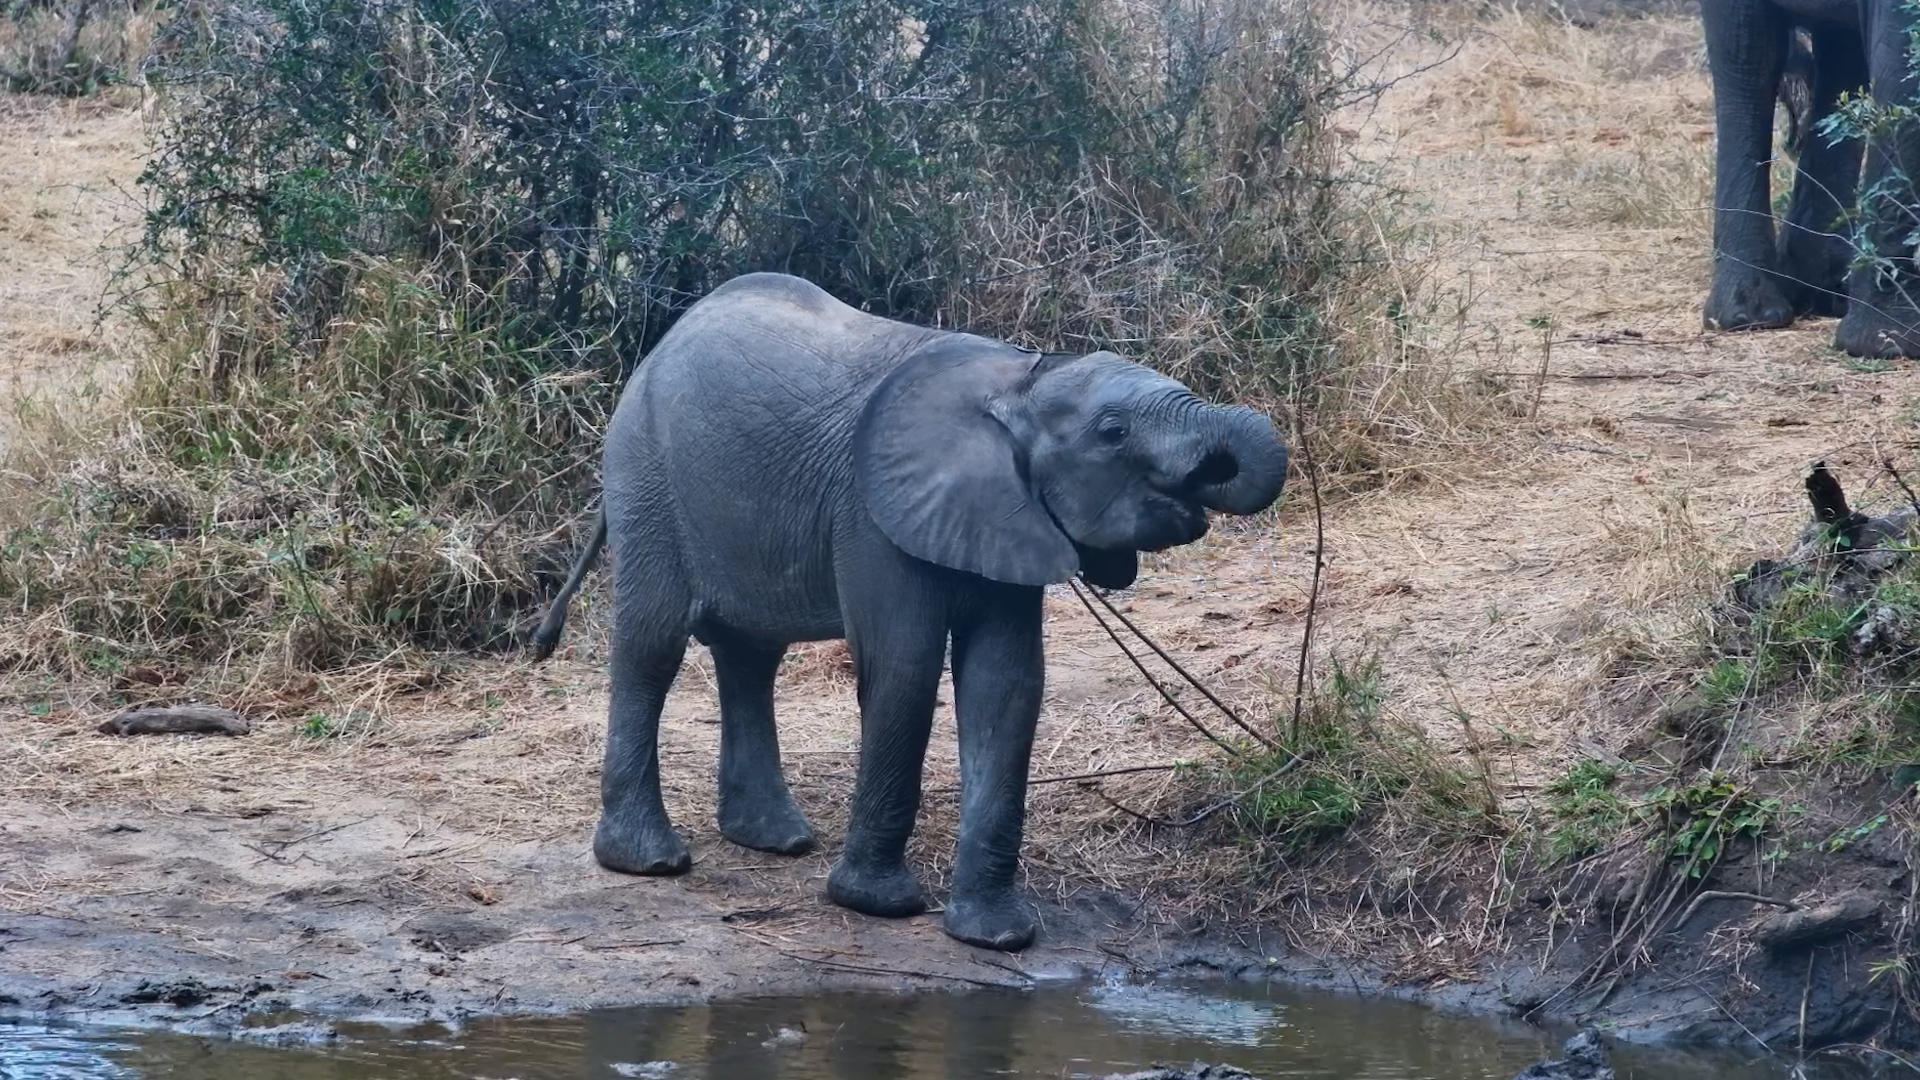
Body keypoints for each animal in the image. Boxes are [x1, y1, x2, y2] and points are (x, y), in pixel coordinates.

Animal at [528, 272, 1288, 951]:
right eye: (1112, 431)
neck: (1018, 382)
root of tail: (656, 351)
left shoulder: (1007, 515)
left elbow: (1007, 686)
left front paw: (997, 937)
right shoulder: (872, 514)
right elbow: (905, 670)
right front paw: (878, 906)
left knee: (751, 654)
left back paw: (776, 839)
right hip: (646, 476)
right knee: (653, 646)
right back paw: (650, 860)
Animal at [1701, 0, 1920, 355]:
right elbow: (1902, 58)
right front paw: (1887, 343)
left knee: (1841, 54)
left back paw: (1826, 293)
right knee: (1747, 53)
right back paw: (1747, 314)